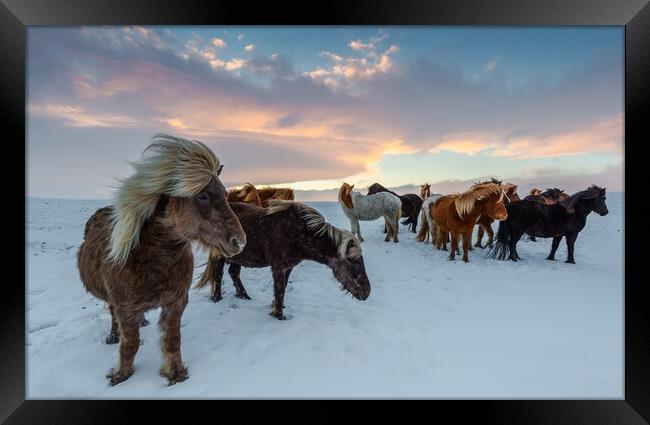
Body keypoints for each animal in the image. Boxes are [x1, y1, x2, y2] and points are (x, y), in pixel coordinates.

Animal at [78, 134, 246, 386]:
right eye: (202, 196)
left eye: (226, 196)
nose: (239, 241)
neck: (152, 260)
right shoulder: (125, 308)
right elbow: (130, 343)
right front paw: (121, 375)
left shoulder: (176, 302)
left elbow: (172, 339)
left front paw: (175, 373)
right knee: (112, 315)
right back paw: (113, 336)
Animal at [196, 200, 370, 318]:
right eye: (353, 264)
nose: (367, 292)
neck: (299, 233)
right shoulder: (279, 267)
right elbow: (279, 290)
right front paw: (278, 316)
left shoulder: (288, 267)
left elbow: (283, 288)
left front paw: (277, 308)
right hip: (220, 257)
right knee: (218, 275)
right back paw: (217, 299)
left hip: (239, 257)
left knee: (234, 273)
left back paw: (245, 297)